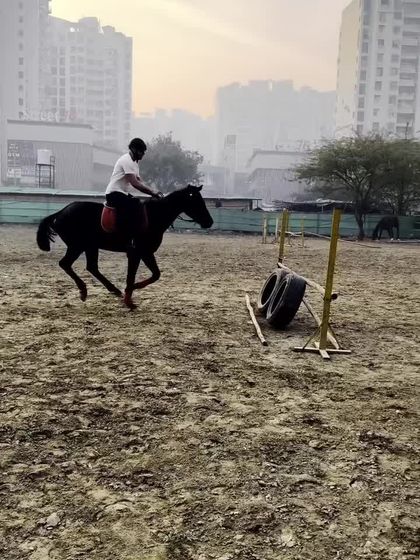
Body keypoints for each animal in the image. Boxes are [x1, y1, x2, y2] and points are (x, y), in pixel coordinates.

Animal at [36, 185, 213, 309]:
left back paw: (113, 290)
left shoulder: (147, 252)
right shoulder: (137, 253)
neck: (153, 217)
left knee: (92, 267)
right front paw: (130, 298)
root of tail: (59, 213)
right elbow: (133, 276)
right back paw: (84, 291)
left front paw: (130, 292)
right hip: (77, 246)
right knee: (66, 264)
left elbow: (155, 274)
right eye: (196, 201)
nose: (209, 222)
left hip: (90, 246)